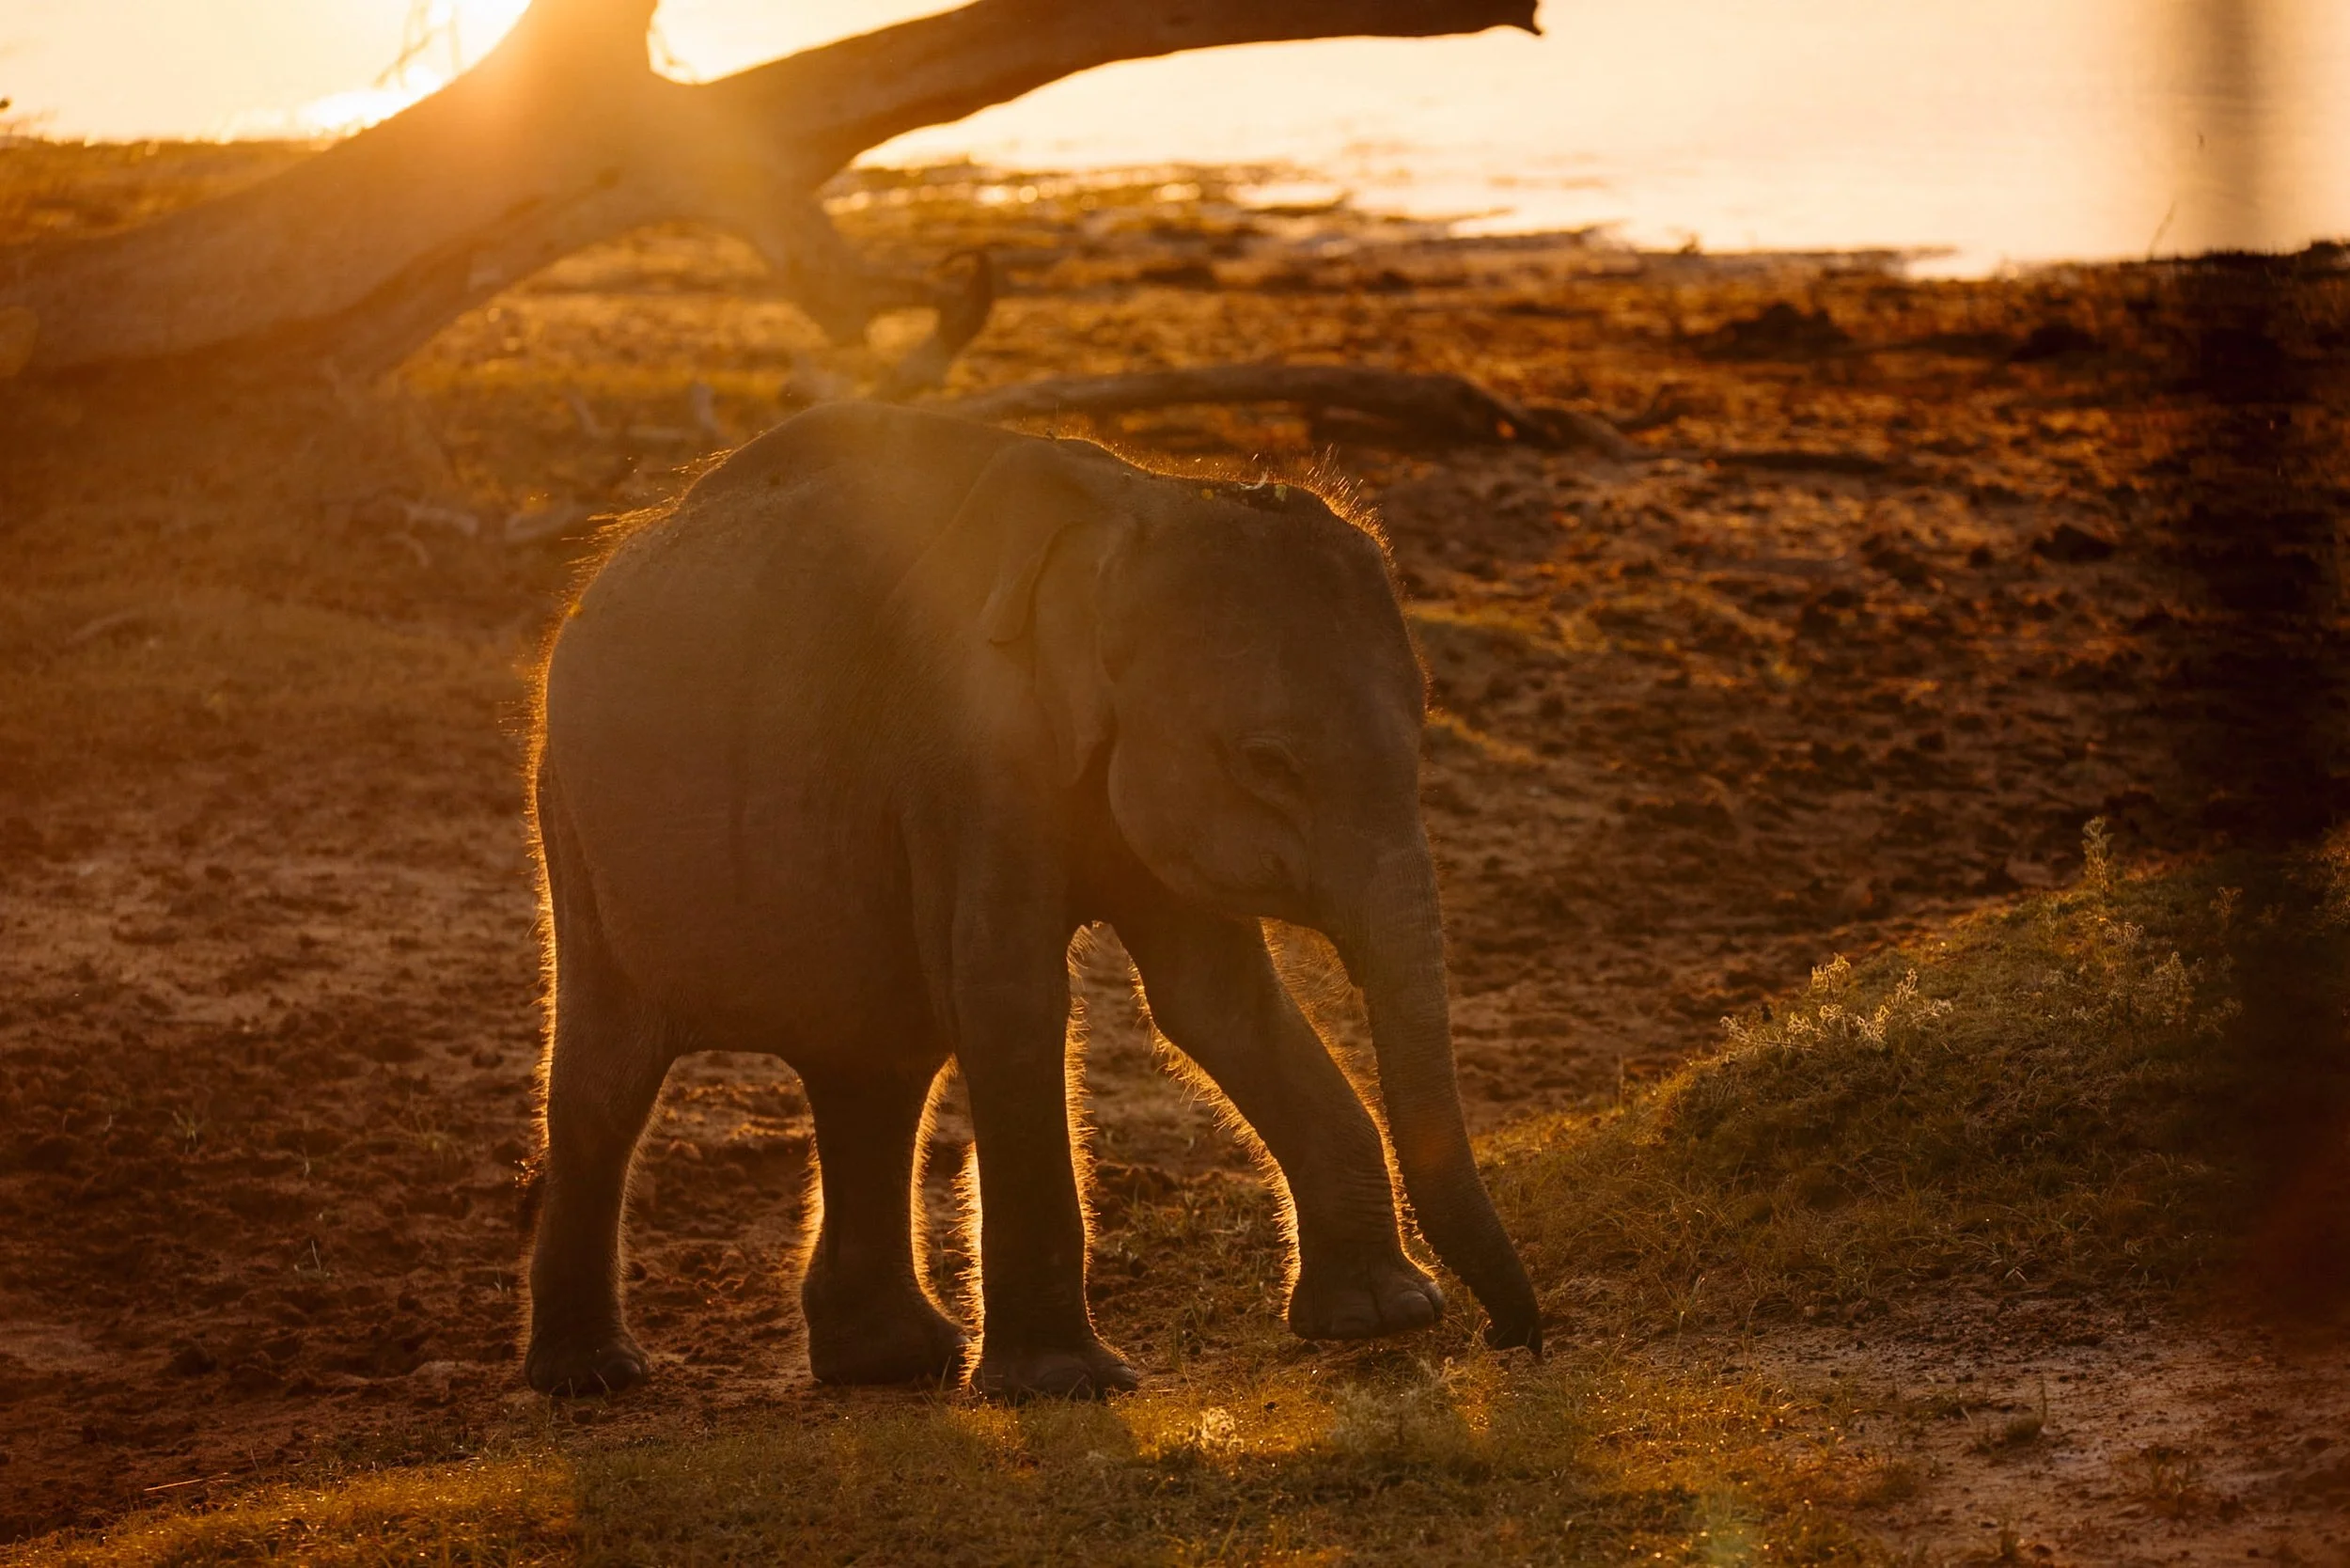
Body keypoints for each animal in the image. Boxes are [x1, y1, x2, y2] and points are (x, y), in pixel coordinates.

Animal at [522, 401, 1541, 1401]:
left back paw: (892, 1364)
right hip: (571, 821)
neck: (1140, 502)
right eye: (1268, 765)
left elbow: (1216, 1002)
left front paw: (1385, 1317)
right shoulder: (959, 758)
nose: (1510, 1339)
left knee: (875, 1067)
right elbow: (1012, 997)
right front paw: (1066, 1385)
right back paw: (596, 1377)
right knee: (610, 1084)